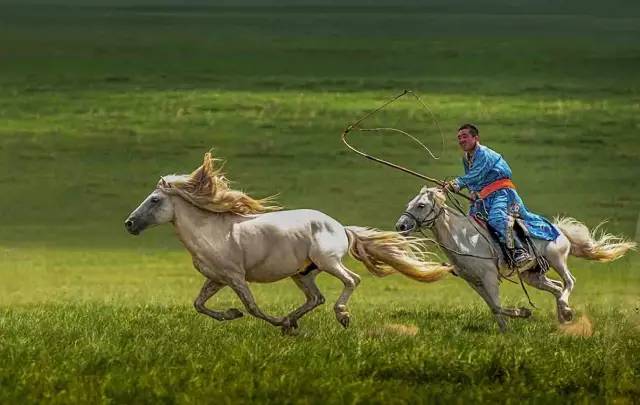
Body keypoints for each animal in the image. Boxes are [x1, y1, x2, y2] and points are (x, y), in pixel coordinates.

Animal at [125, 153, 452, 332]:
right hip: (303, 273)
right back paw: (293, 321)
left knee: (352, 280)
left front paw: (265, 320)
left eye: (154, 200)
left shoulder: (235, 277)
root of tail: (341, 227)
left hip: (328, 262)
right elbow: (199, 304)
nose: (129, 224)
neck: (212, 232)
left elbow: (253, 307)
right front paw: (232, 315)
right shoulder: (217, 278)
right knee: (315, 298)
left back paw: (341, 316)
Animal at [396, 186, 636, 332]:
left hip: (557, 259)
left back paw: (566, 312)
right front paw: (506, 330)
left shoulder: (489, 277)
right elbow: (494, 308)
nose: (401, 226)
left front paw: (523, 312)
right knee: (557, 288)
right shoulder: (473, 281)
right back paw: (562, 318)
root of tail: (560, 230)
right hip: (533, 276)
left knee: (569, 282)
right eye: (410, 203)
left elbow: (497, 305)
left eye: (421, 205)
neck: (463, 238)